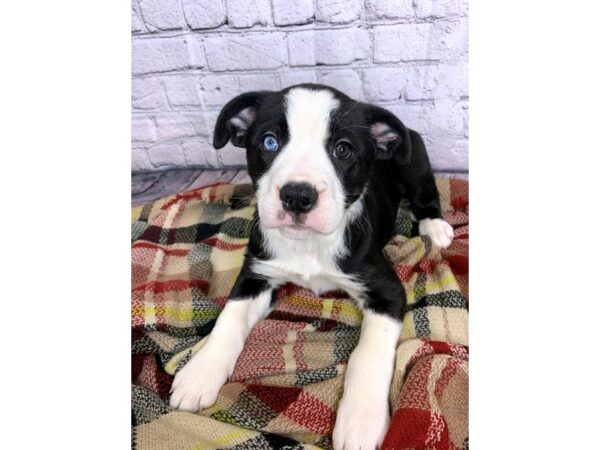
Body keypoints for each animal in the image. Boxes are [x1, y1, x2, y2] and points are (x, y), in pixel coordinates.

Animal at [168, 84, 450, 450]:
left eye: (343, 150)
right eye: (269, 142)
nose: (298, 196)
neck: (307, 246)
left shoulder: (387, 290)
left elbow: (368, 354)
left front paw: (360, 419)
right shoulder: (255, 274)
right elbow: (228, 320)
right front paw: (200, 372)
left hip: (414, 161)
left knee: (425, 195)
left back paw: (436, 228)